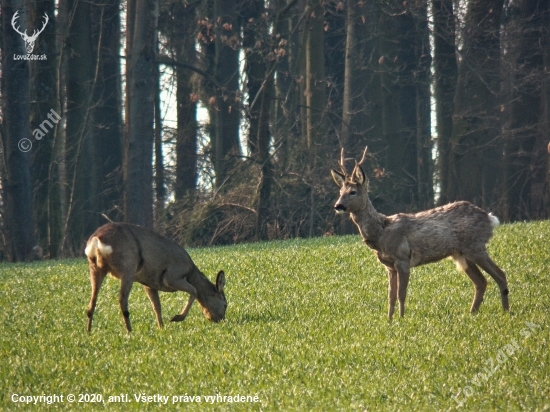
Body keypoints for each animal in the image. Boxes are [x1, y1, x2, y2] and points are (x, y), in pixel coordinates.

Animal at [84, 222, 226, 332]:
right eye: (225, 304)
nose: (221, 320)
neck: (191, 272)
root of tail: (97, 240)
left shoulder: (149, 284)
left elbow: (157, 306)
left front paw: (161, 328)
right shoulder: (172, 276)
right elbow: (194, 291)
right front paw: (176, 318)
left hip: (95, 267)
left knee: (92, 302)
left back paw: (89, 332)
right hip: (128, 267)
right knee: (122, 299)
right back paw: (130, 331)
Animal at [330, 146, 512, 320]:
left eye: (353, 192)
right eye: (340, 192)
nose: (338, 206)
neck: (381, 232)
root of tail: (490, 218)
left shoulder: (402, 258)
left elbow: (401, 294)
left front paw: (402, 319)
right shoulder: (389, 266)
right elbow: (390, 297)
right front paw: (389, 321)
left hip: (475, 246)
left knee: (500, 275)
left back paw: (505, 312)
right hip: (461, 254)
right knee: (481, 282)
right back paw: (471, 313)